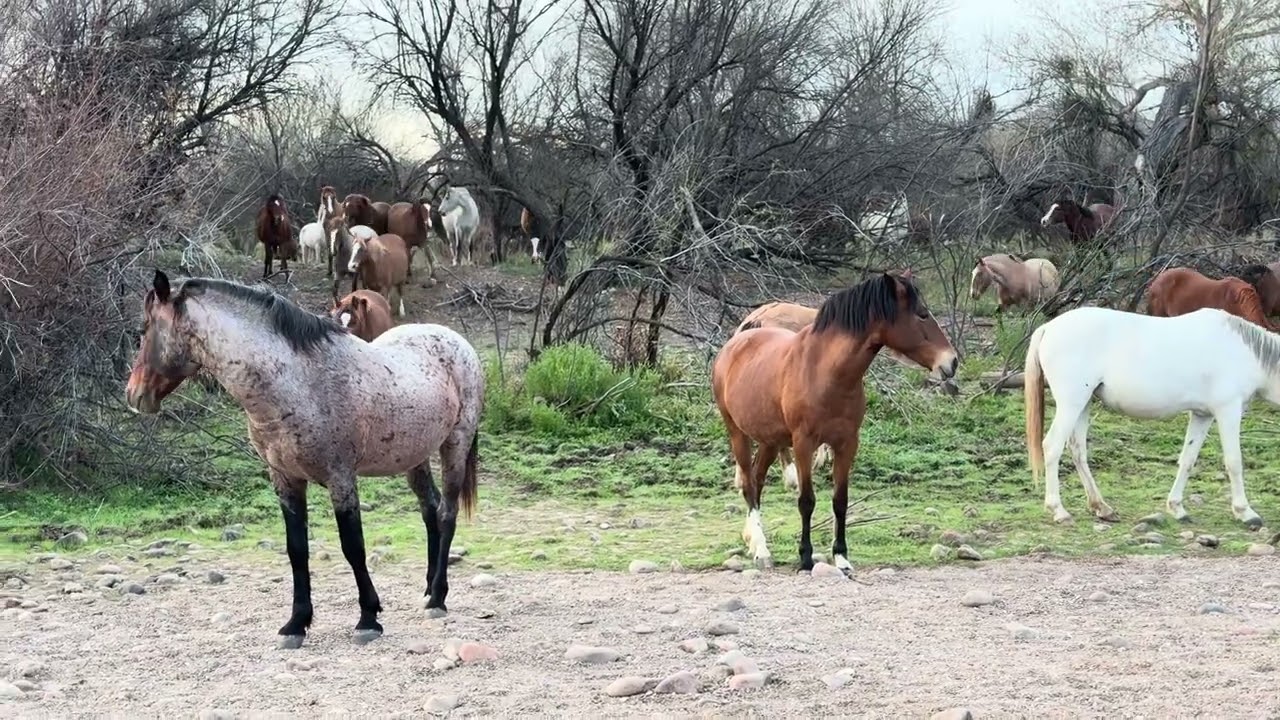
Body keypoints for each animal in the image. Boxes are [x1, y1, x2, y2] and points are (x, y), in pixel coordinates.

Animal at [125, 270, 485, 648]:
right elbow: (296, 550)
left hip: (455, 446)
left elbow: (353, 546)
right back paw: (428, 590)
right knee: (429, 510)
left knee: (446, 514)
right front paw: (296, 624)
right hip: (414, 456)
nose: (134, 395)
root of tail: (457, 341)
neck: (297, 382)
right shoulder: (285, 479)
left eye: (143, 329)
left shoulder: (341, 478)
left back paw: (438, 598)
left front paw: (368, 618)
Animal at [712, 273, 959, 572]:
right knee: (749, 484)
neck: (825, 371)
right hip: (737, 433)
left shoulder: (847, 443)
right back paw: (761, 550)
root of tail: (737, 341)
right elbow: (806, 501)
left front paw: (841, 557)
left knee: (757, 482)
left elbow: (840, 501)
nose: (952, 362)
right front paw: (805, 558)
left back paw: (754, 542)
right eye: (922, 314)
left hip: (770, 439)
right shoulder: (804, 443)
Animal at [1024, 305, 1272, 529]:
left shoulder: (1202, 415)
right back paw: (1059, 511)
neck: (1243, 352)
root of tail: (1048, 328)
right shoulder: (1228, 411)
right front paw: (1245, 512)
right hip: (1071, 403)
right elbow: (1234, 461)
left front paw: (1177, 508)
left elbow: (1188, 459)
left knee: (1077, 450)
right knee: (1052, 446)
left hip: (1082, 404)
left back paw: (1102, 508)